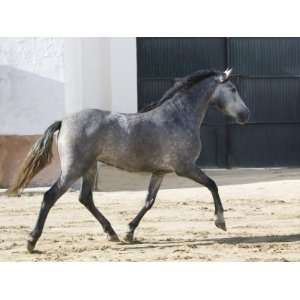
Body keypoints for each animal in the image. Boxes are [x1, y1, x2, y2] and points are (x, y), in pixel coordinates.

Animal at [8, 67, 250, 252]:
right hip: (73, 169)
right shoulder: (185, 167)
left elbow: (148, 202)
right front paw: (220, 222)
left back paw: (112, 234)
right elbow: (212, 185)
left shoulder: (160, 172)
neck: (178, 117)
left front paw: (129, 232)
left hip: (89, 167)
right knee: (50, 197)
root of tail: (64, 122)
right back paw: (31, 241)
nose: (245, 115)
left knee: (86, 198)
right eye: (232, 89)